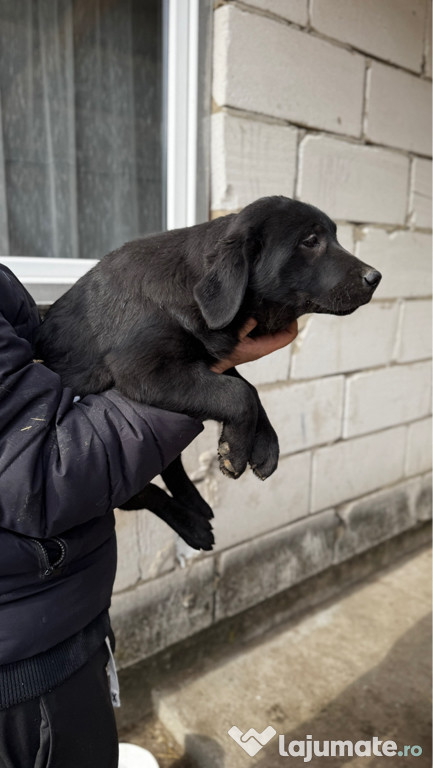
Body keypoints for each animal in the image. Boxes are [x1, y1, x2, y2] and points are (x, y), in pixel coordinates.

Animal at [36, 196, 381, 550]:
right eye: (310, 241)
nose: (376, 277)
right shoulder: (145, 370)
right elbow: (238, 393)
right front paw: (236, 451)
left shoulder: (207, 359)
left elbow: (248, 388)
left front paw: (265, 445)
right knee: (145, 491)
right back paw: (193, 524)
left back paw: (196, 503)